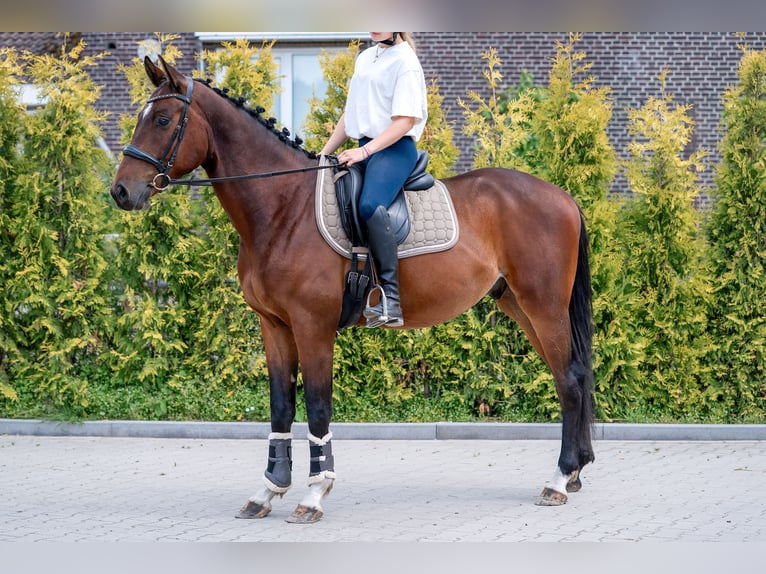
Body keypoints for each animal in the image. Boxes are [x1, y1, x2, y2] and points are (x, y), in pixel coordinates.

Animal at [111, 56, 596, 524]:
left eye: (163, 120)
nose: (121, 192)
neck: (283, 207)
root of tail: (563, 197)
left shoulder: (312, 326)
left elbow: (318, 406)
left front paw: (313, 494)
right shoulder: (274, 326)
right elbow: (281, 406)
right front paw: (268, 490)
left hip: (543, 306)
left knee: (570, 380)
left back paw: (558, 480)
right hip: (520, 305)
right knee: (568, 377)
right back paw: (574, 474)